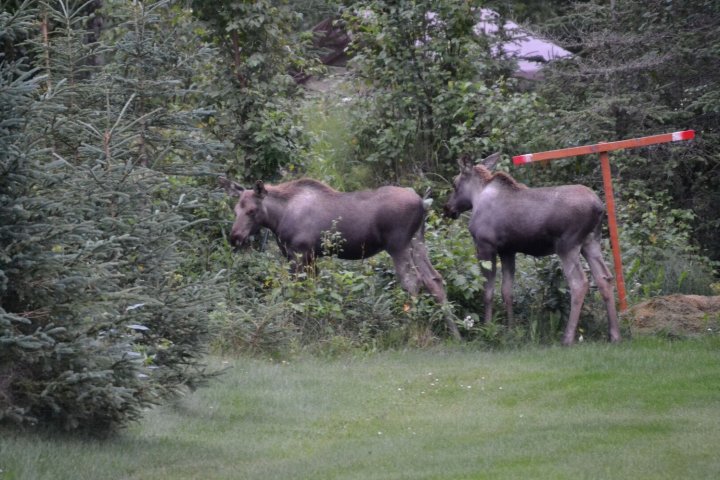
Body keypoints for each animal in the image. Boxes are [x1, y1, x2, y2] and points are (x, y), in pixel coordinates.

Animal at [219, 178, 462, 340]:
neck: (277, 219)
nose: (235, 237)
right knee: (434, 279)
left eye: (252, 210)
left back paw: (411, 329)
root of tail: (423, 203)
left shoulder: (299, 253)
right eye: (235, 209)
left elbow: (296, 292)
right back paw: (455, 334)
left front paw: (294, 326)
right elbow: (311, 291)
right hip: (417, 241)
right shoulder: (311, 255)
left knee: (412, 281)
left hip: (398, 245)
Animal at [444, 155, 620, 344]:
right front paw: (511, 330)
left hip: (567, 245)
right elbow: (507, 291)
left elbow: (488, 292)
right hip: (591, 242)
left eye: (454, 183)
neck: (476, 196)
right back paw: (614, 334)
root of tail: (599, 207)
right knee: (605, 278)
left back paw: (567, 338)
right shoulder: (508, 250)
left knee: (579, 283)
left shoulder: (485, 246)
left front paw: (487, 329)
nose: (447, 208)